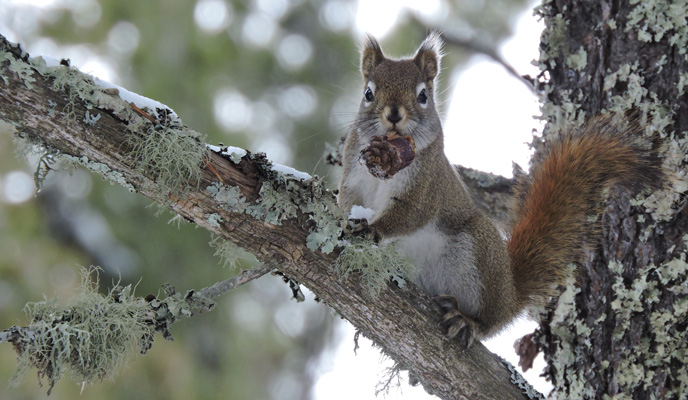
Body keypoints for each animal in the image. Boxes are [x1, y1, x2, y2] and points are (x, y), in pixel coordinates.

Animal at [337, 32, 662, 347]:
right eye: (368, 93)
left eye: (423, 96)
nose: (394, 114)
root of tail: (511, 293)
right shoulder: (353, 174)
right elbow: (348, 200)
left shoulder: (427, 184)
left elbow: (410, 213)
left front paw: (373, 229)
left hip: (479, 253)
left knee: (490, 320)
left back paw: (469, 321)